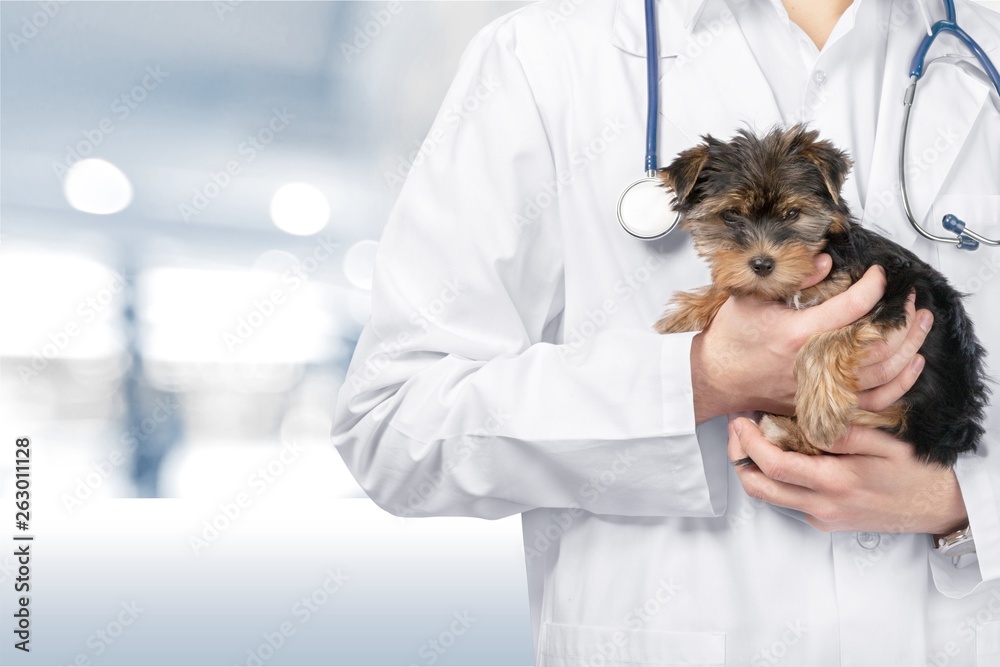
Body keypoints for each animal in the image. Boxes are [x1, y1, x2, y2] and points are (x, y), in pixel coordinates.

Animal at [652, 126, 988, 470]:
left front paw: (820, 408)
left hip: (929, 409)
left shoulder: (894, 290)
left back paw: (786, 431)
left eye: (792, 213)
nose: (762, 264)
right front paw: (686, 313)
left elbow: (823, 342)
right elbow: (738, 284)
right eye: (731, 215)